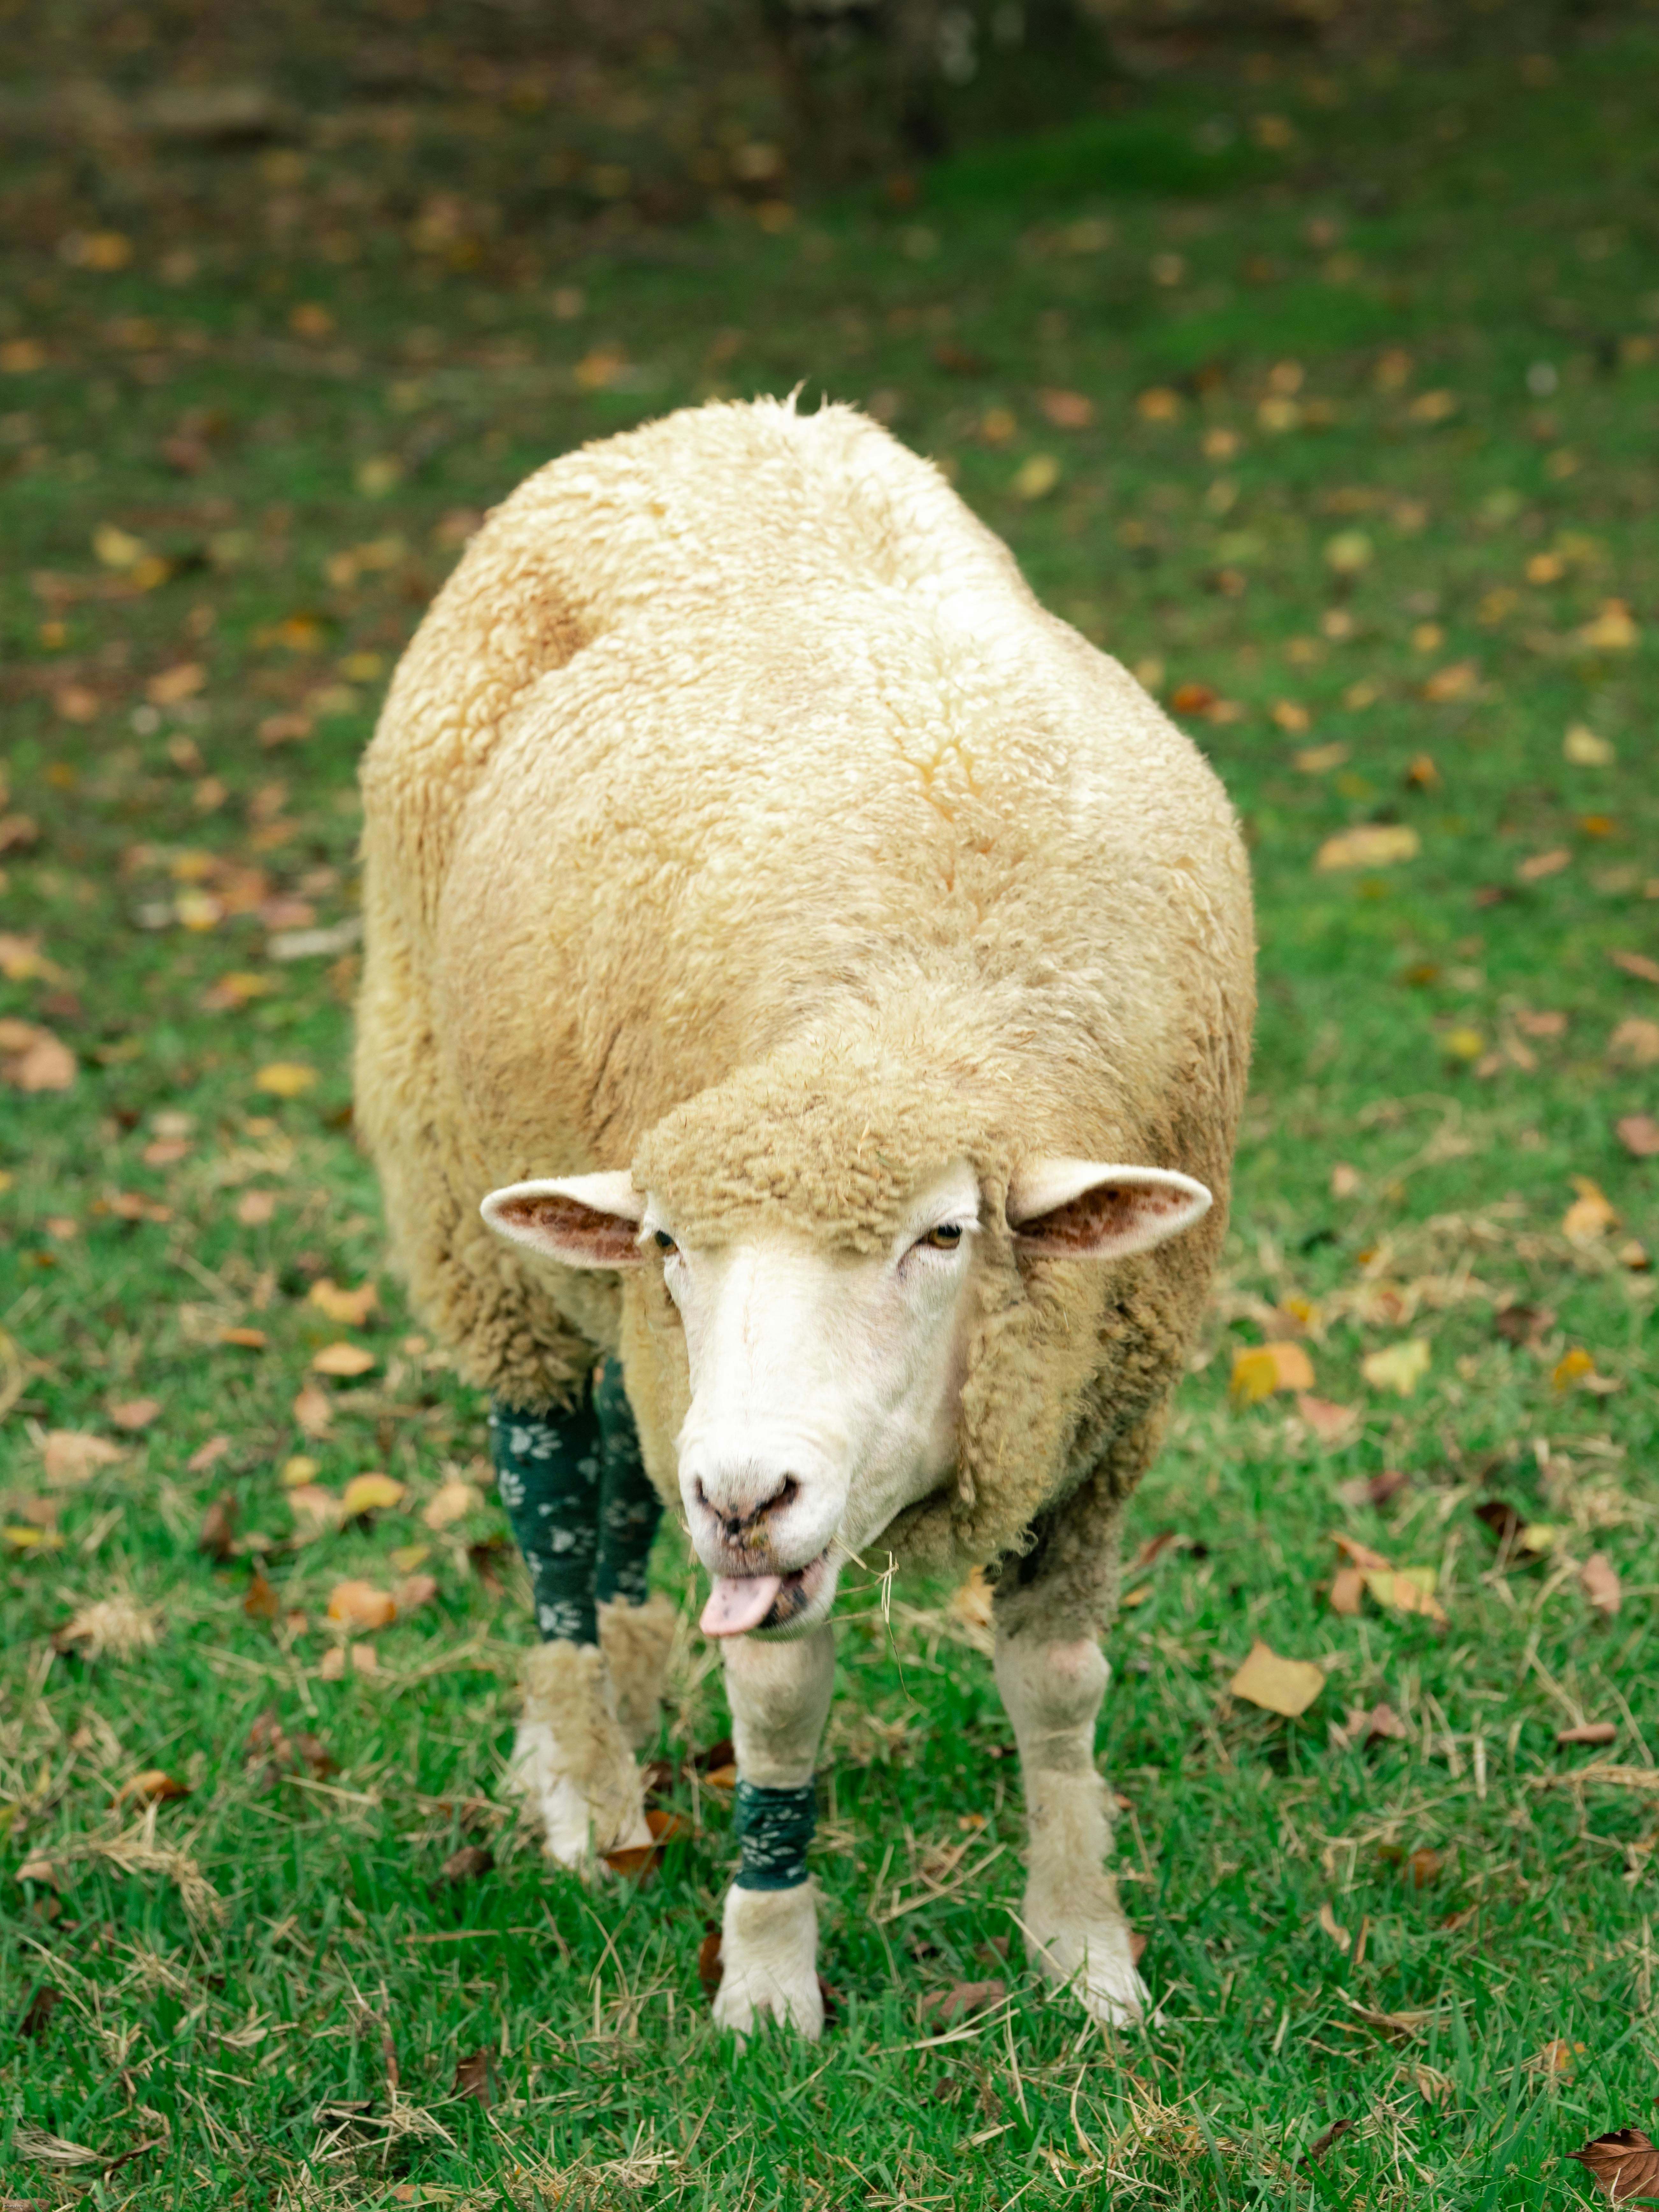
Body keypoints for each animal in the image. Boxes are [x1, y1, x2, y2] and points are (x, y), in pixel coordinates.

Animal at [355, 395, 1254, 2039]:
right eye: (674, 1242)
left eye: (945, 1235)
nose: (744, 1494)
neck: (916, 1005)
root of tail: (703, 424)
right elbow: (778, 1709)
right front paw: (770, 1977)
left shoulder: (1099, 1407)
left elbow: (1061, 1689)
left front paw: (1084, 1950)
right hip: (463, 1186)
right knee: (550, 1480)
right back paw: (586, 1779)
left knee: (621, 1483)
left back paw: (624, 1694)